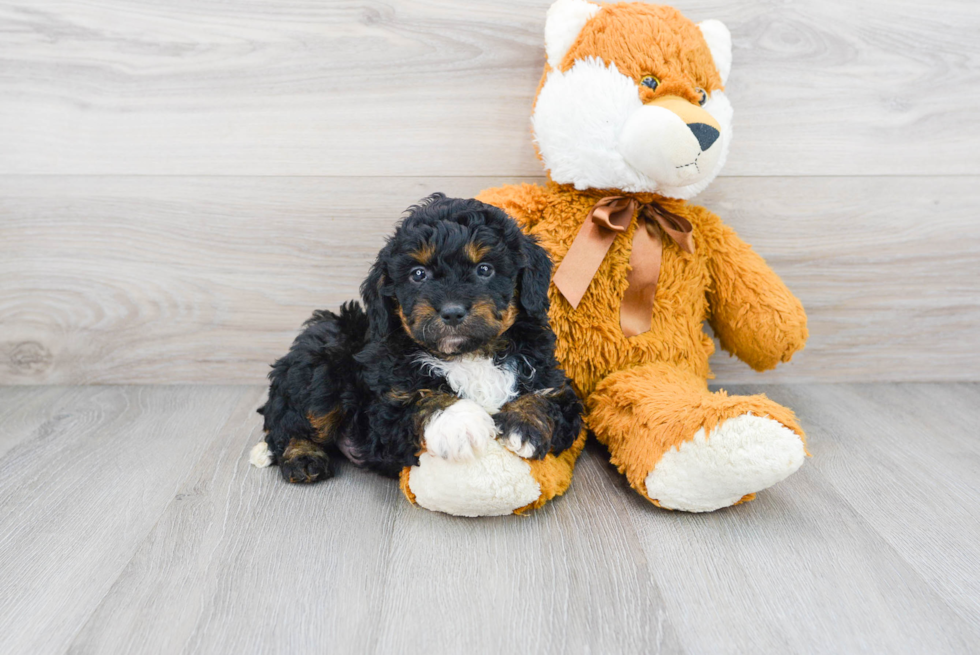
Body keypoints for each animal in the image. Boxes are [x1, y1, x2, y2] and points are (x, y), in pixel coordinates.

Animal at [253, 192, 584, 484]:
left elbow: (549, 398)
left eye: (484, 269)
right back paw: (301, 457)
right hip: (322, 365)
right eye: (418, 274)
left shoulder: (554, 380)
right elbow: (422, 400)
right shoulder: (385, 408)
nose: (452, 312)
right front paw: (460, 421)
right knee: (290, 422)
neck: (469, 354)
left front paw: (523, 424)